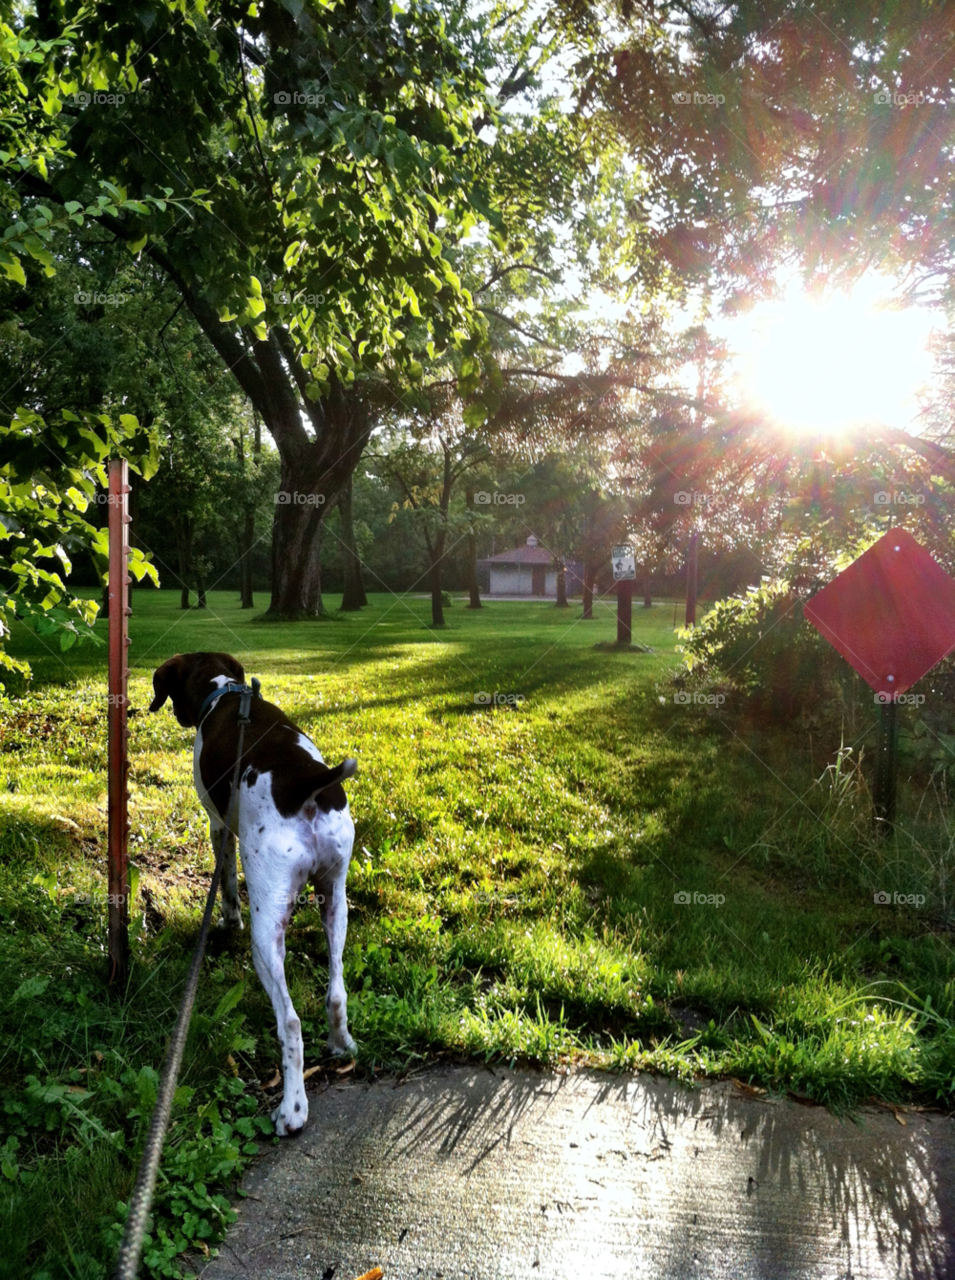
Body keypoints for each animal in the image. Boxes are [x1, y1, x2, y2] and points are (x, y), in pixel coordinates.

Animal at [148, 655, 358, 1136]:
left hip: (266, 936)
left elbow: (226, 887)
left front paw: (228, 922)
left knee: (292, 1024)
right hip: (336, 901)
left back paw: (292, 1110)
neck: (225, 692)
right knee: (336, 993)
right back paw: (341, 1043)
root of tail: (306, 785)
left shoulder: (219, 826)